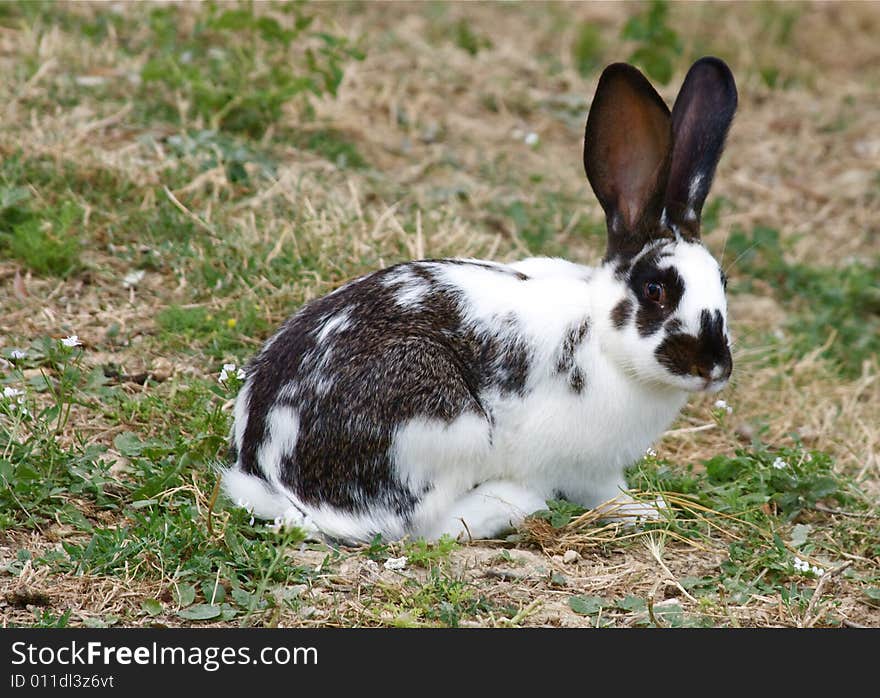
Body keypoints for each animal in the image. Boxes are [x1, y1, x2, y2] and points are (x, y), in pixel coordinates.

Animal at [220, 55, 736, 544]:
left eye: (723, 282)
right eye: (656, 290)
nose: (714, 368)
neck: (604, 341)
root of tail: (269, 472)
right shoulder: (587, 470)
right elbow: (607, 495)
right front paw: (646, 511)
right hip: (446, 426)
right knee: (420, 528)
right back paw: (508, 505)